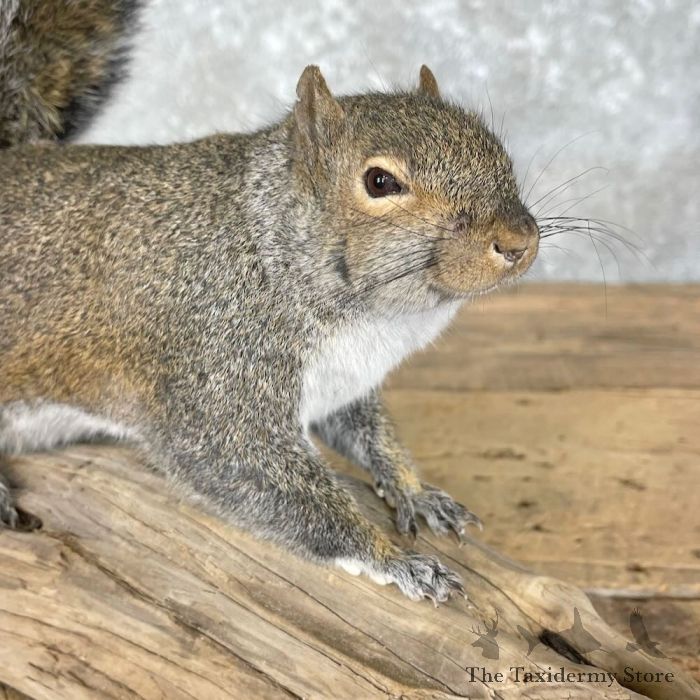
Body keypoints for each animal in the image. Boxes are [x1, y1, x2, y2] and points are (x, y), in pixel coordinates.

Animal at [0, 0, 539, 603]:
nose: (519, 241)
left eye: (498, 151)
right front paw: (395, 560)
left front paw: (414, 489)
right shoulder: (218, 367)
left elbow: (370, 433)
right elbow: (243, 465)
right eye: (380, 181)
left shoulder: (345, 383)